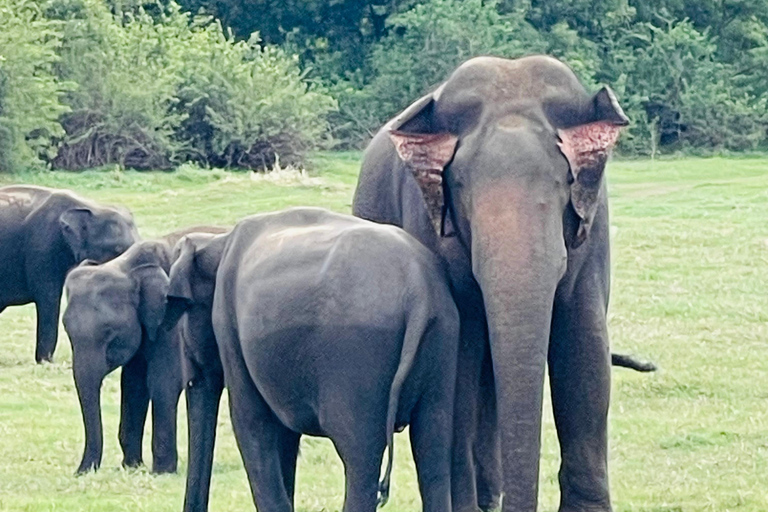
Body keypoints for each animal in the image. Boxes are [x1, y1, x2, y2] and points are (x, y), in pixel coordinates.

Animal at [62, 226, 225, 474]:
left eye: (109, 332)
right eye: (67, 330)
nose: (80, 473)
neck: (128, 267)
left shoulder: (172, 320)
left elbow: (163, 381)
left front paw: (161, 472)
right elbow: (133, 384)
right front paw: (132, 467)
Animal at [165, 207, 460, 512]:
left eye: (181, 310)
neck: (218, 241)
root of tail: (418, 291)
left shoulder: (229, 326)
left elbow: (251, 422)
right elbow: (283, 434)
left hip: (359, 357)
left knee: (361, 457)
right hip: (443, 338)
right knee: (433, 447)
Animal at [353, 55, 630, 512]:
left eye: (563, 182)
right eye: (460, 186)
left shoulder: (594, 229)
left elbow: (584, 350)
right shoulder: (429, 222)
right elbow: (460, 354)